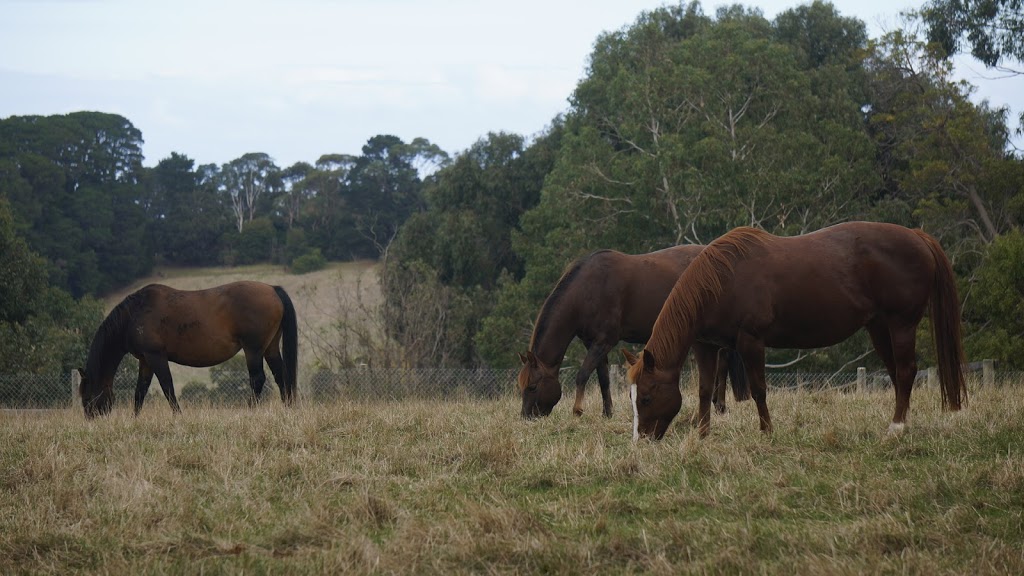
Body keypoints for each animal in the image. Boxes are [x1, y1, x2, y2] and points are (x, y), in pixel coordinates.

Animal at [77, 278, 299, 416]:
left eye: (86, 396)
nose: (91, 419)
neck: (135, 314)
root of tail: (272, 289)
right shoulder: (145, 360)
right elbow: (140, 391)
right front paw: (135, 419)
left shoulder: (156, 356)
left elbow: (167, 386)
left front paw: (178, 415)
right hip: (270, 348)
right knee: (281, 376)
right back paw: (288, 408)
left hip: (253, 350)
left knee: (258, 379)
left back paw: (250, 410)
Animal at [516, 242, 749, 416]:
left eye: (532, 386)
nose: (527, 417)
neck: (587, 290)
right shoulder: (594, 343)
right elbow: (603, 378)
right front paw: (607, 412)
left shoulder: (604, 341)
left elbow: (582, 375)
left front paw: (577, 410)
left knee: (722, 362)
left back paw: (720, 406)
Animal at [622, 222, 966, 436]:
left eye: (647, 398)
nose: (642, 440)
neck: (721, 281)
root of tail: (917, 236)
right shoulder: (706, 346)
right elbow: (705, 391)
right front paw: (704, 435)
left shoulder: (751, 341)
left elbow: (759, 389)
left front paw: (767, 431)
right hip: (879, 327)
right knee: (896, 373)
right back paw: (900, 422)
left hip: (901, 324)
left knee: (906, 371)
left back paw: (896, 428)